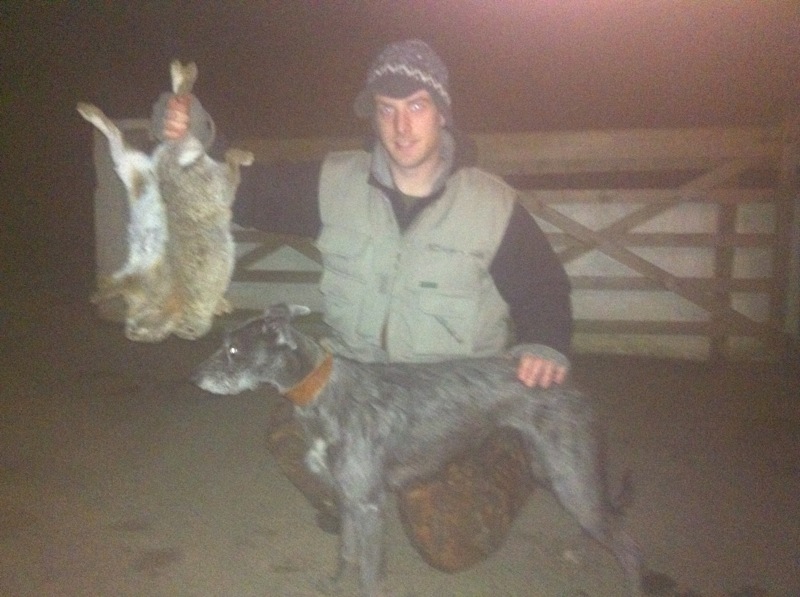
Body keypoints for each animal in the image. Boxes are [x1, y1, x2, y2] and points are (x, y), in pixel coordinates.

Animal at [192, 304, 642, 597]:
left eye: (233, 350)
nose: (196, 378)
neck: (321, 392)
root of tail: (574, 386)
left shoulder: (369, 506)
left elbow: (369, 576)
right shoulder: (348, 498)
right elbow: (346, 552)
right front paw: (334, 583)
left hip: (570, 476)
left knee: (626, 541)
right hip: (553, 470)